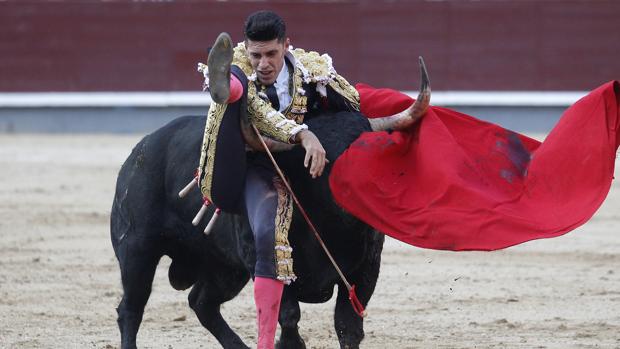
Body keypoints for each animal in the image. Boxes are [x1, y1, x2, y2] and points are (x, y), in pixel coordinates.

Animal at [110, 112, 382, 348]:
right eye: (324, 161)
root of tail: (139, 151)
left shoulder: (367, 269)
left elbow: (347, 326)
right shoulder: (265, 260)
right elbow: (289, 314)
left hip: (225, 268)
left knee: (202, 302)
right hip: (137, 250)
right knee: (131, 308)